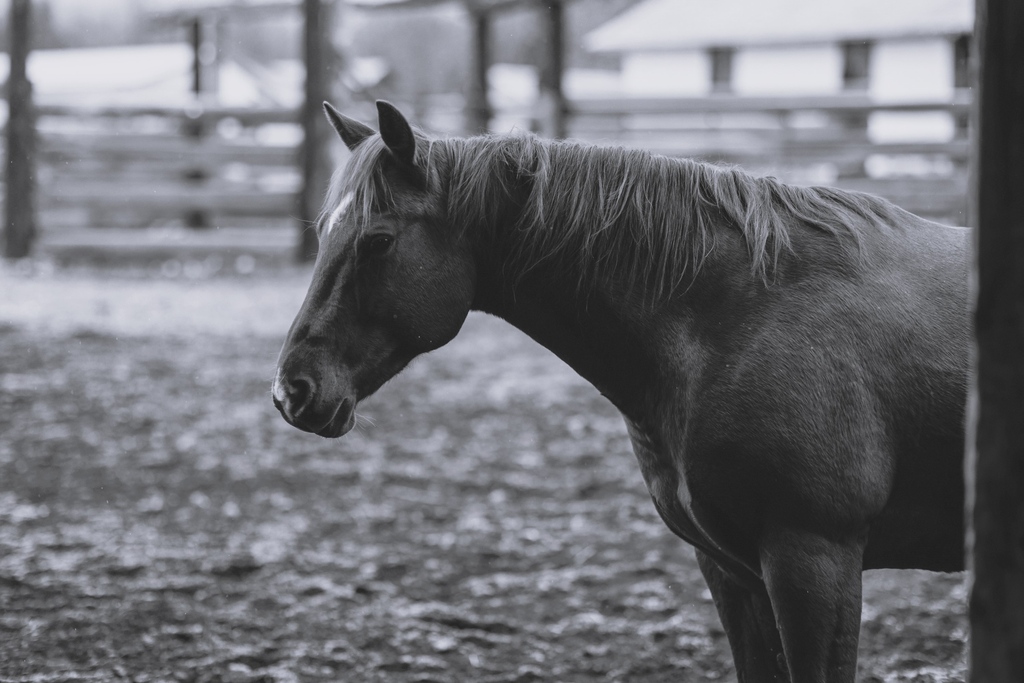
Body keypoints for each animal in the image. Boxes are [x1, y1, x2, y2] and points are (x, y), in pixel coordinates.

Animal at [273, 100, 969, 682]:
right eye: (323, 232)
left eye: (378, 239)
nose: (291, 391)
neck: (741, 315)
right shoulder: (734, 572)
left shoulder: (814, 560)